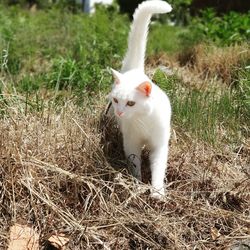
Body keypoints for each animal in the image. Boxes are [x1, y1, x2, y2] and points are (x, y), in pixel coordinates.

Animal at [108, 0, 173, 199]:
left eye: (131, 103)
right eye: (116, 100)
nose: (120, 112)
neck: (143, 120)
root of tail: (136, 71)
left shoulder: (160, 145)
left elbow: (158, 169)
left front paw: (158, 193)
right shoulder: (131, 143)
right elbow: (135, 164)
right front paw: (136, 184)